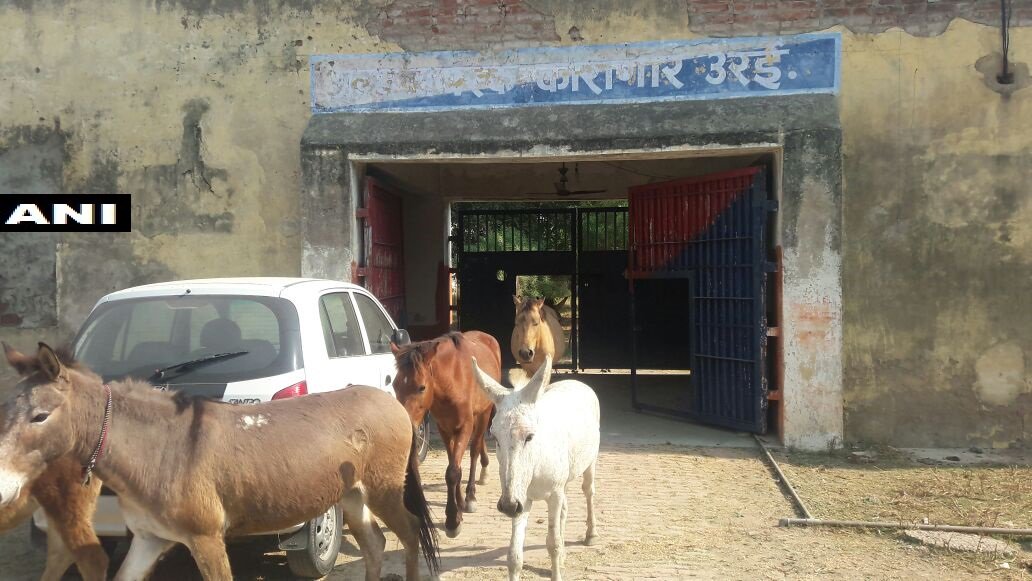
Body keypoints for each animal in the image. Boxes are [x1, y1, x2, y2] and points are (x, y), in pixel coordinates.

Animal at [0, 342, 437, 581]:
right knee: (376, 542)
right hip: (352, 495)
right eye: (5, 410)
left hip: (383, 489)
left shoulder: (206, 537)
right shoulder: (149, 538)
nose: (4, 488)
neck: (156, 449)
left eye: (40, 417)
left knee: (410, 532)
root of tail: (390, 400)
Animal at [390, 332, 499, 540]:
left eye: (422, 387)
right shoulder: (444, 429)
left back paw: (471, 495)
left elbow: (453, 471)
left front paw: (452, 520)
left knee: (475, 449)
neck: (453, 380)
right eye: (394, 385)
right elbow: (453, 465)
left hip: (483, 414)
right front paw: (458, 505)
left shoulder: (464, 427)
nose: (403, 424)